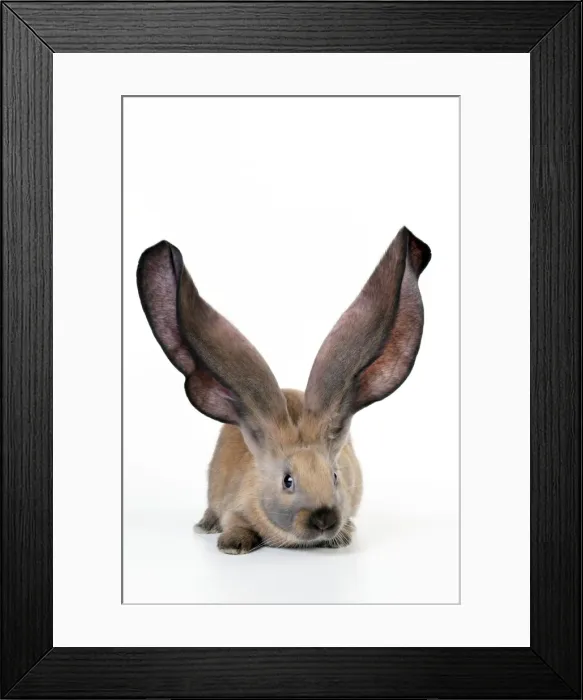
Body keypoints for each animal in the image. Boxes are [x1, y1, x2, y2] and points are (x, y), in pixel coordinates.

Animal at [137, 226, 431, 554]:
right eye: (287, 481)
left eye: (335, 476)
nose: (324, 519)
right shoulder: (234, 506)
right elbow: (236, 522)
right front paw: (233, 544)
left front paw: (342, 536)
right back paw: (206, 525)